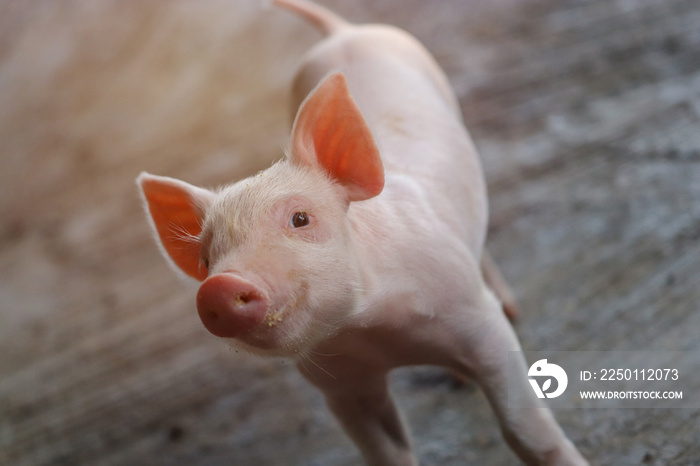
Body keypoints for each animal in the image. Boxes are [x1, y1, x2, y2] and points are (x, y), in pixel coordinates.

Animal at [135, 0, 584, 466]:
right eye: (207, 258)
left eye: (300, 218)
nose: (219, 285)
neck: (373, 331)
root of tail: (342, 30)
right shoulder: (343, 387)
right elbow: (388, 454)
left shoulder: (479, 322)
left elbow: (526, 432)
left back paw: (511, 308)